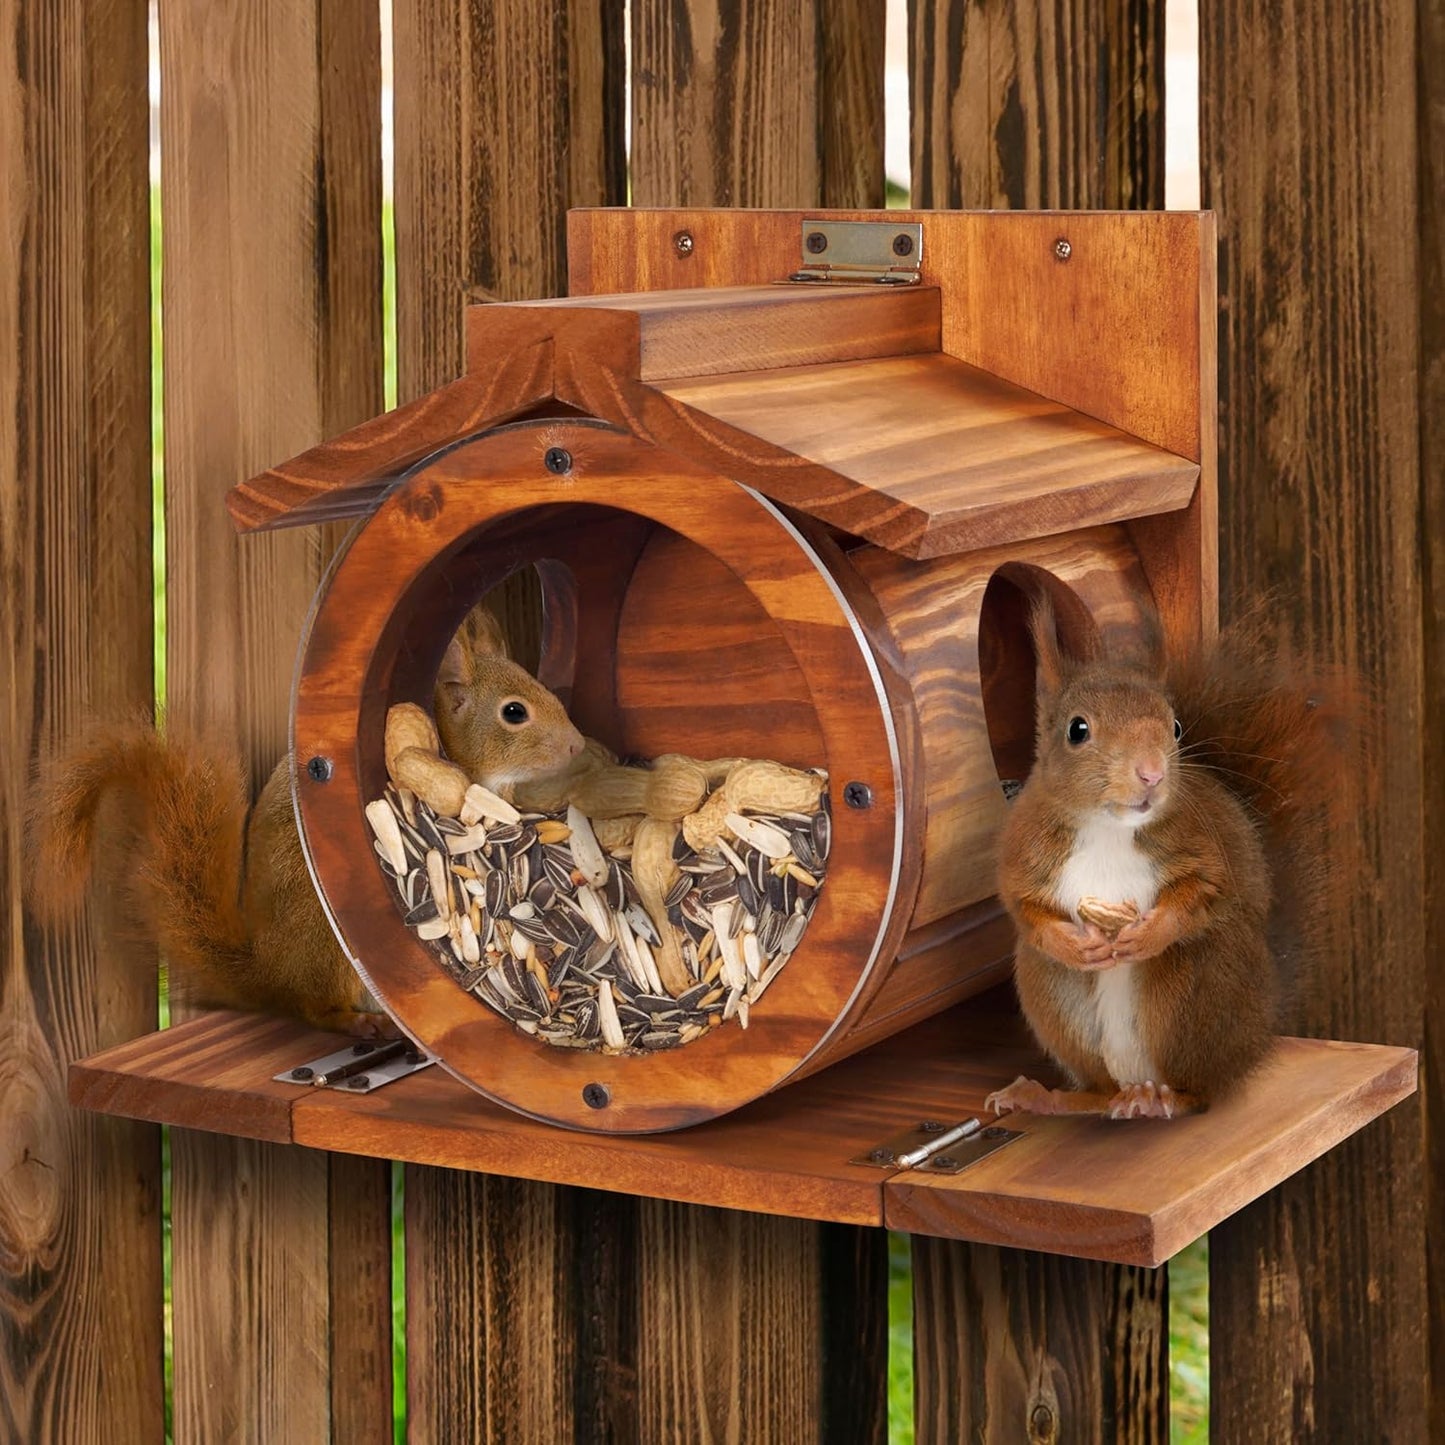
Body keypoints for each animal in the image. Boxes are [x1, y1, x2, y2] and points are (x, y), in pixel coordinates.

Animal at [27, 604, 584, 1036]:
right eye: (514, 712)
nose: (577, 745)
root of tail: (270, 975)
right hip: (327, 942)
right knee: (315, 1009)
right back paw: (357, 1022)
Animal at [986, 591, 1361, 1121]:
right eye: (1077, 730)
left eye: (1177, 726)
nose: (1152, 773)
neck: (1109, 829)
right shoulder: (1025, 855)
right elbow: (1026, 910)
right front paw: (1074, 944)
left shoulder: (1204, 848)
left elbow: (1204, 893)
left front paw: (1148, 933)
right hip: (1052, 992)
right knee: (1098, 1092)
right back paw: (1048, 1097)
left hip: (1196, 989)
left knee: (1200, 1090)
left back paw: (1162, 1099)